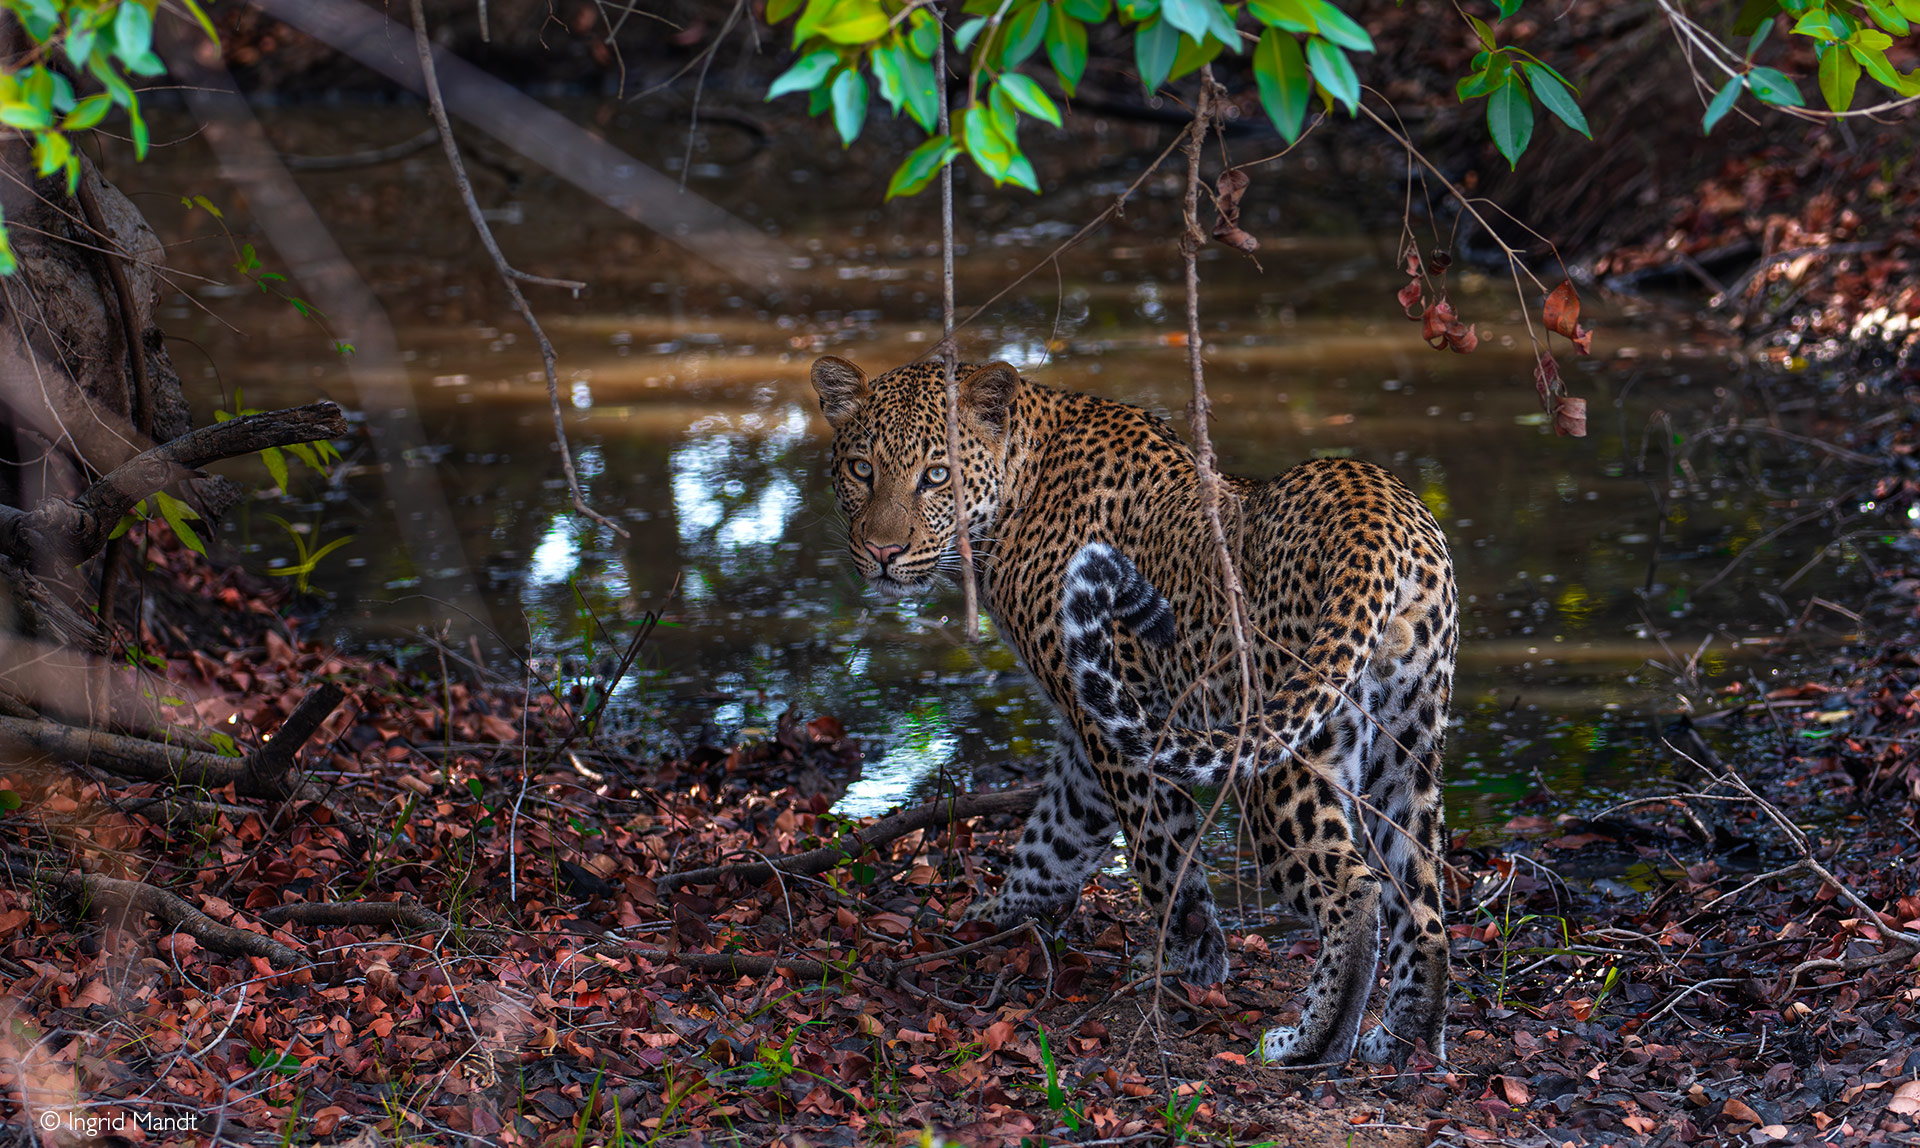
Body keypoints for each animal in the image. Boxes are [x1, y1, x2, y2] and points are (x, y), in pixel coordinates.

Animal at [810, 357, 1451, 1067]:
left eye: (936, 475)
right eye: (862, 468)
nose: (883, 552)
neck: (1014, 498)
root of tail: (1377, 517)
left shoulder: (1119, 722)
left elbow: (1161, 857)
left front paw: (1192, 964)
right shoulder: (1092, 719)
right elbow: (1056, 832)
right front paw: (995, 917)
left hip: (1283, 756)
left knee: (1353, 888)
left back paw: (1311, 1042)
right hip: (1408, 745)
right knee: (1422, 899)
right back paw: (1406, 1038)